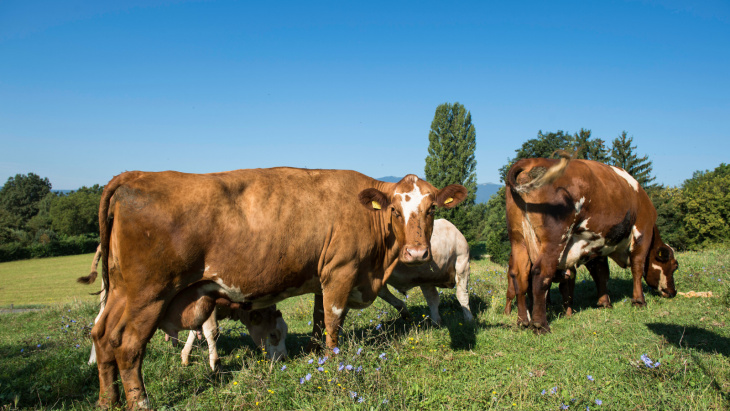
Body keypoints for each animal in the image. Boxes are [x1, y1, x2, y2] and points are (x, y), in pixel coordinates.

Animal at [87, 168, 466, 408]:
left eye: (431, 209)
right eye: (394, 210)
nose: (417, 253)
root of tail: (136, 175)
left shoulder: (321, 276)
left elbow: (318, 318)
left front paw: (315, 354)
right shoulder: (340, 272)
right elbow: (334, 320)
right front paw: (334, 364)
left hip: (122, 292)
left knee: (103, 336)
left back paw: (108, 400)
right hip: (147, 294)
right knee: (128, 346)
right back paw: (140, 402)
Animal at [505, 154, 678, 333]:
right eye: (674, 266)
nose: (673, 292)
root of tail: (530, 162)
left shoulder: (596, 245)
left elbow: (601, 273)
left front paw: (604, 302)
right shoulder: (642, 233)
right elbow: (637, 268)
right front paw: (639, 301)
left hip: (518, 240)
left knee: (519, 276)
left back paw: (523, 321)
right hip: (555, 239)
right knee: (541, 273)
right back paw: (540, 324)